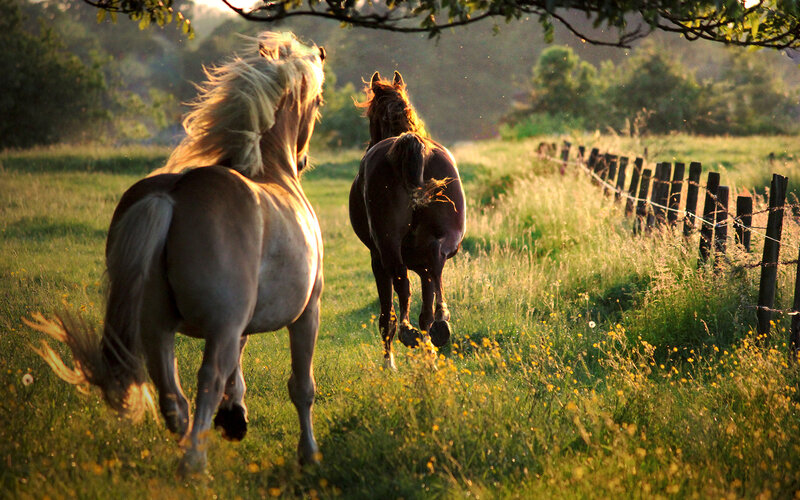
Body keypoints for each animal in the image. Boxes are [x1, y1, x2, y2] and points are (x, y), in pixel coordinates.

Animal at [25, 32, 327, 476]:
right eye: (318, 101)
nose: (303, 159)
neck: (272, 172)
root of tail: (171, 196)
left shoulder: (240, 323)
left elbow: (240, 370)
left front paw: (235, 417)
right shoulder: (306, 312)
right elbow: (301, 387)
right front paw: (308, 453)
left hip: (157, 327)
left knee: (174, 399)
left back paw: (190, 451)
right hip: (216, 327)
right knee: (207, 381)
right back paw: (195, 463)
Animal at [349, 71, 466, 370]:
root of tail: (411, 145)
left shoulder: (376, 259)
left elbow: (386, 312)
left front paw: (389, 363)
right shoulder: (422, 265)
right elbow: (425, 307)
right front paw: (429, 355)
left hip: (387, 248)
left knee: (401, 284)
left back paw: (405, 333)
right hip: (443, 241)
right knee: (436, 264)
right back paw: (441, 325)